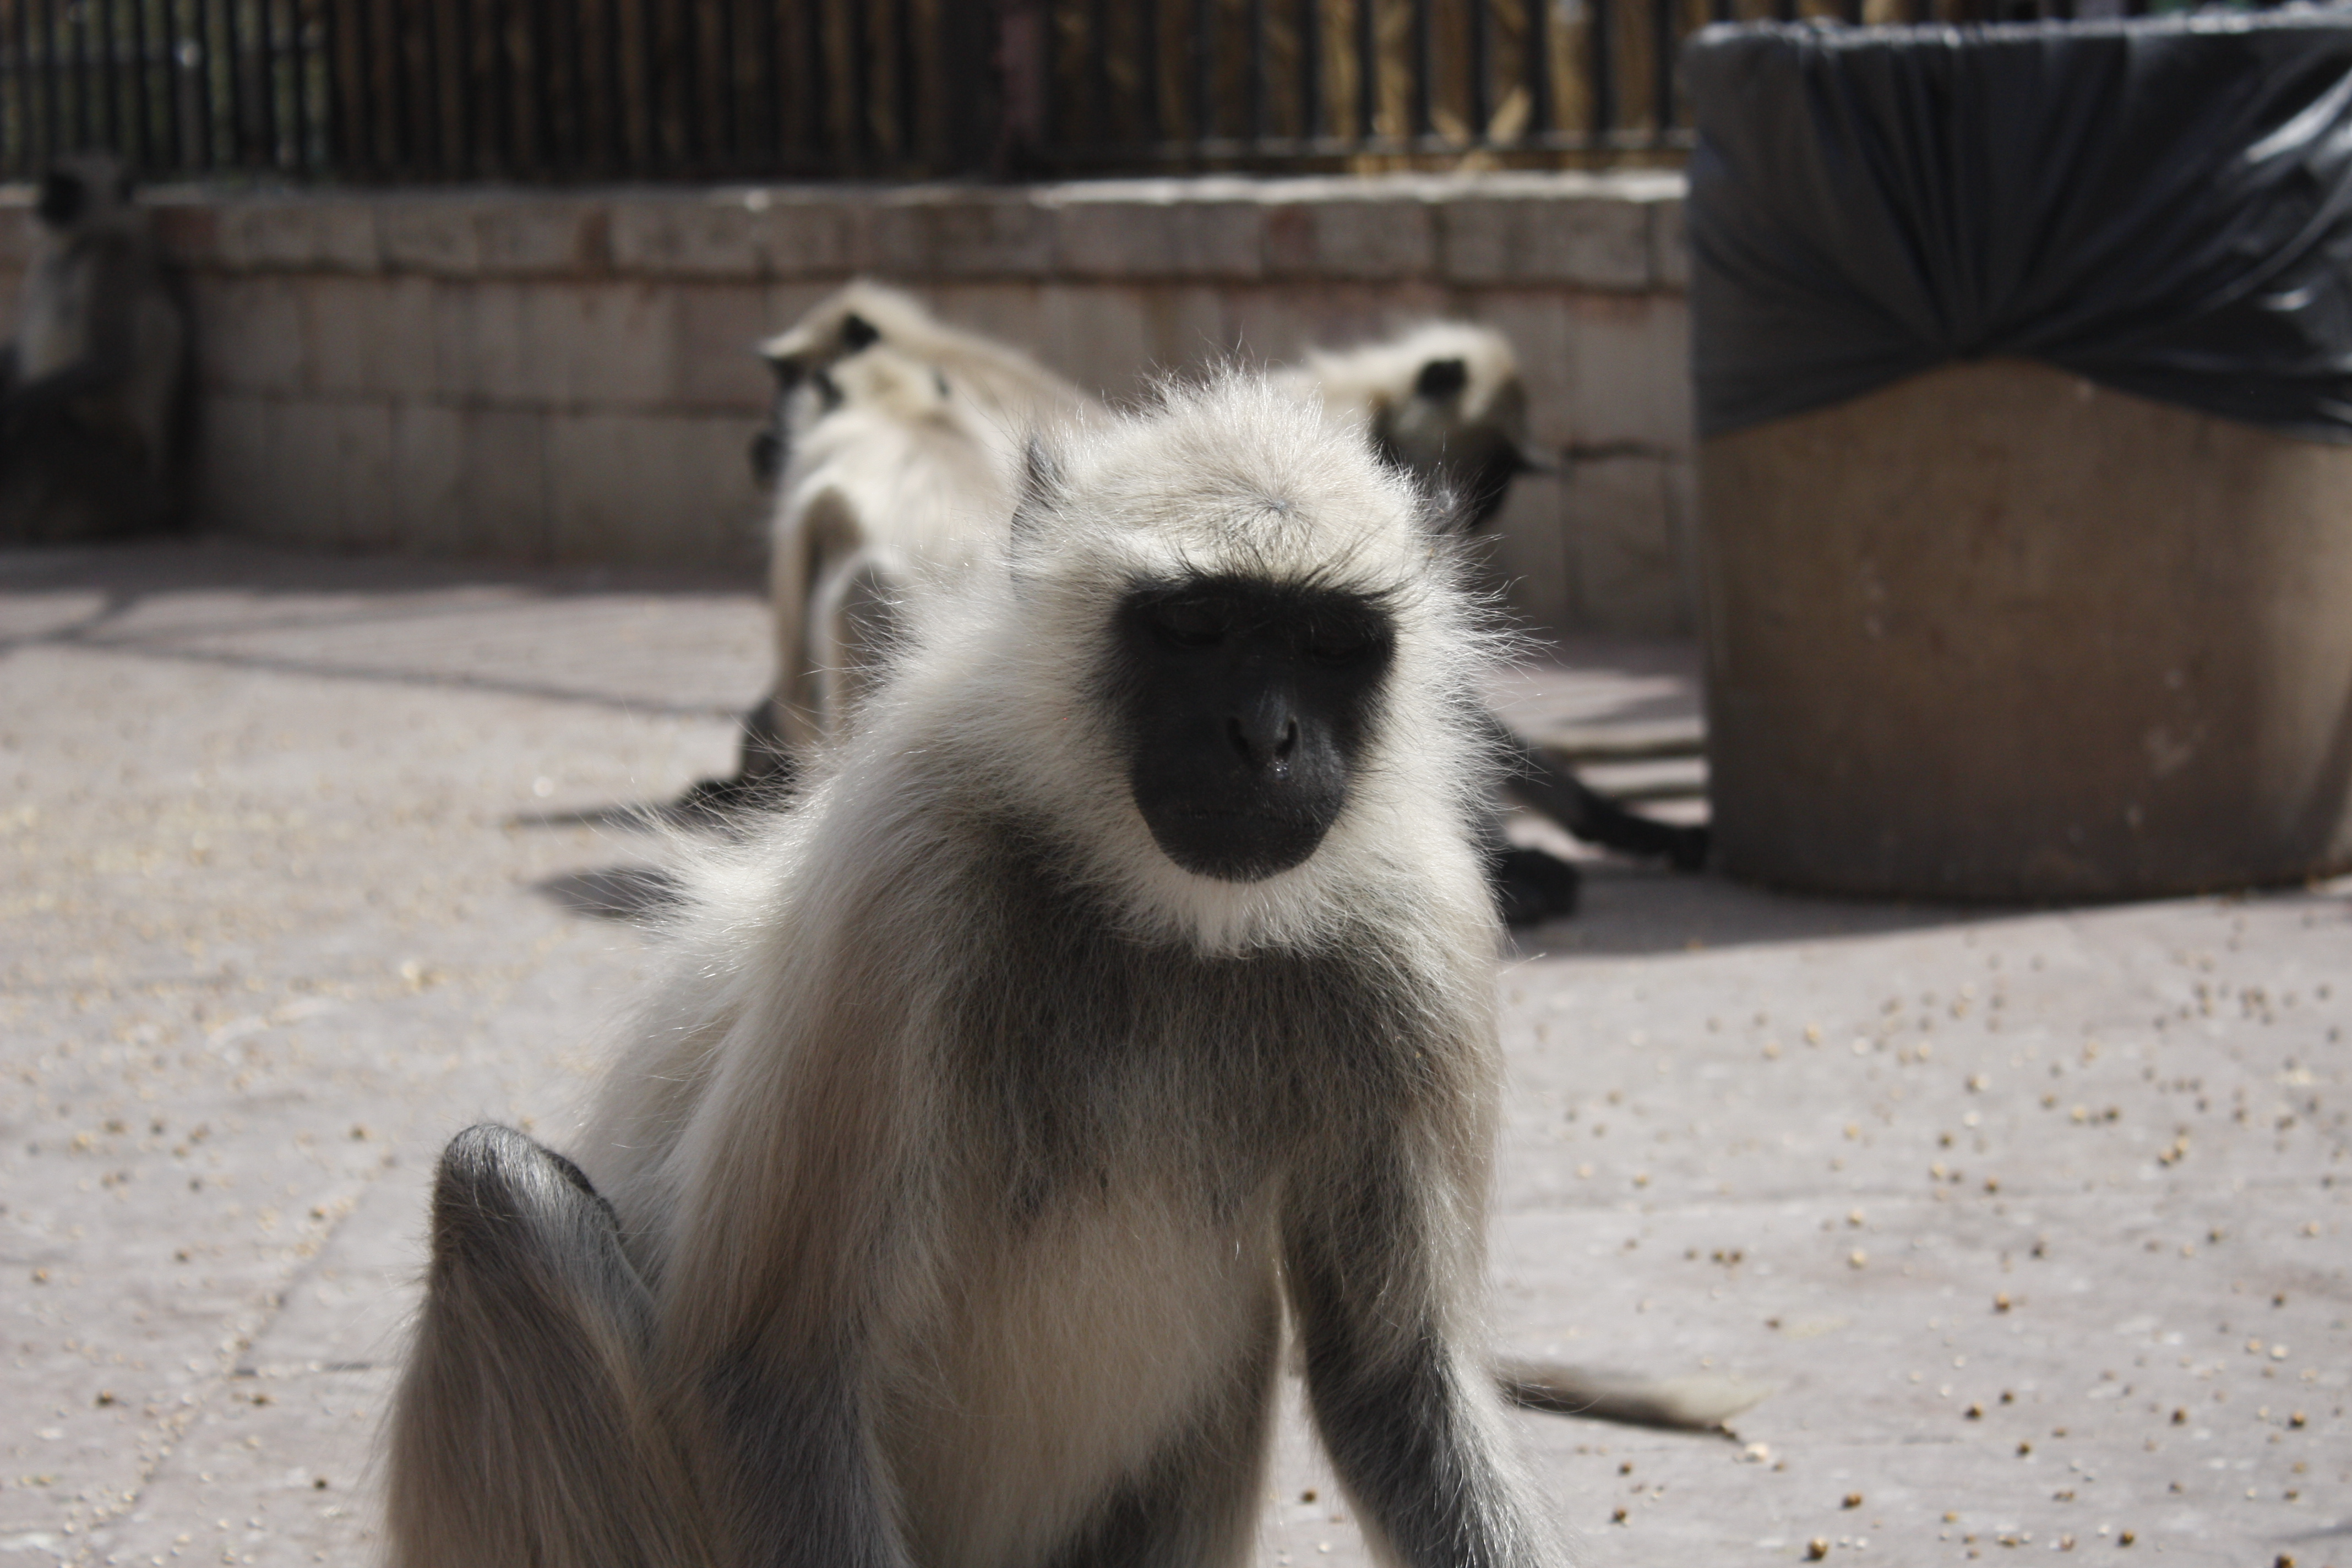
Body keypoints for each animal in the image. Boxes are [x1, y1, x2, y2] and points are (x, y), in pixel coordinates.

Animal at [0, 153, 190, 545]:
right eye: (52, 185)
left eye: (67, 189)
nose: (43, 202)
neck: (79, 247)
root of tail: (160, 498)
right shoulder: (44, 261)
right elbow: (17, 348)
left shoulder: (111, 264)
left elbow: (108, 361)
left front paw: (4, 408)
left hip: (113, 475)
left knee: (42, 417)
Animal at [391, 374, 1570, 1568]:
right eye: (1194, 627)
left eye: (1330, 642)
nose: (1266, 736)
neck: (1162, 918)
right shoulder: (905, 874)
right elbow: (777, 1375)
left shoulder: (1419, 934)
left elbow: (1394, 1384)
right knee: (494, 1184)